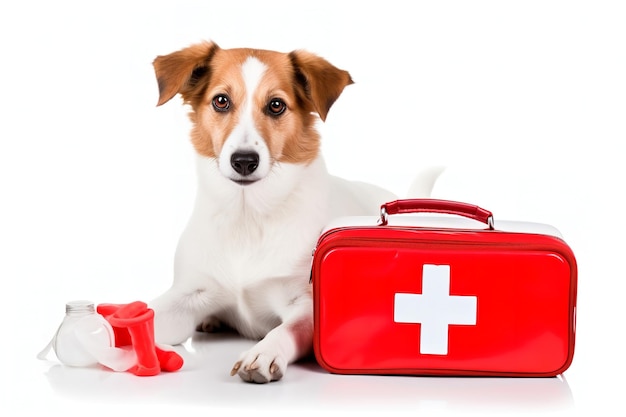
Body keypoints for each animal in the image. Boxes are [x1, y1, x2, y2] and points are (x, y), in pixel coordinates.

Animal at [149, 40, 436, 382]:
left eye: (276, 105)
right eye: (221, 101)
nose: (244, 160)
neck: (248, 215)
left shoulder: (306, 307)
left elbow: (284, 330)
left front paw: (263, 352)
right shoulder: (188, 294)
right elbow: (144, 313)